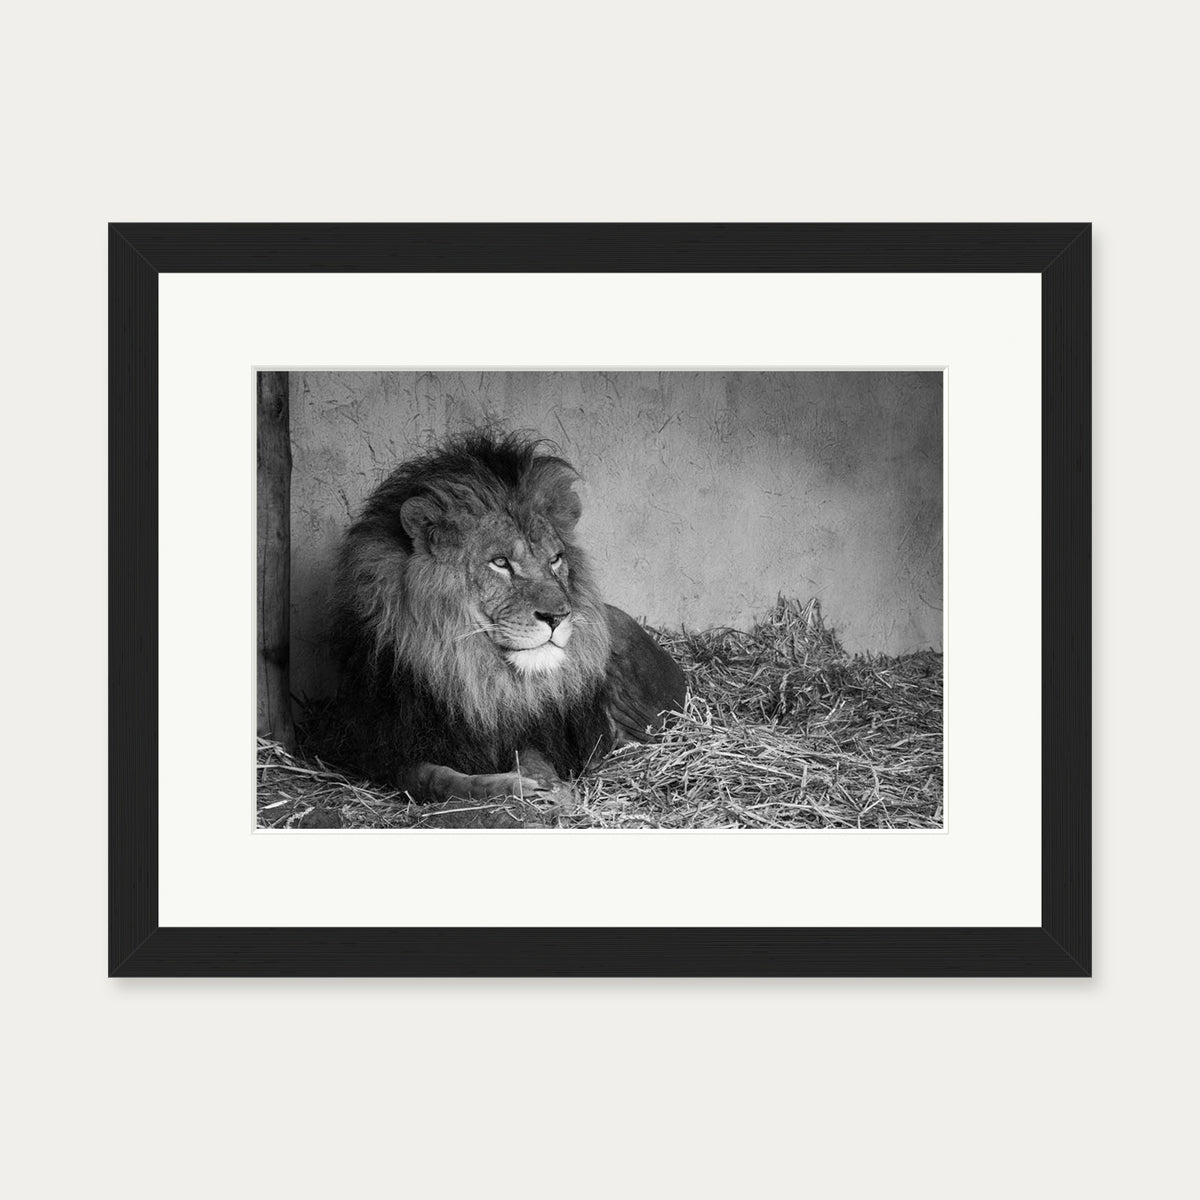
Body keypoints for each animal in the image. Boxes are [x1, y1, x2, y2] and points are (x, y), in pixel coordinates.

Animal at [333, 430, 686, 805]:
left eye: (555, 559)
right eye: (500, 562)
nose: (558, 616)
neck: (474, 674)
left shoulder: (537, 732)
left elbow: (534, 756)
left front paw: (550, 787)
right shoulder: (387, 749)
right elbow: (433, 778)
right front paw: (510, 785)